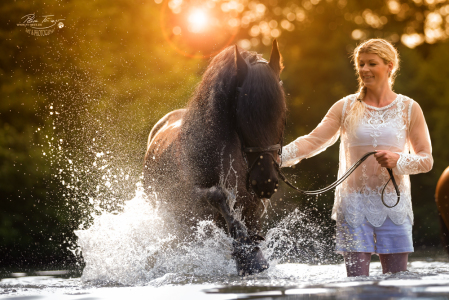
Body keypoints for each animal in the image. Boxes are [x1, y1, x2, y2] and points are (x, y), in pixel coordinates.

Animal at [144, 40, 284, 276]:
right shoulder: (196, 198)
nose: (265, 181)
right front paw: (248, 253)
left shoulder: (252, 204)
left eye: (282, 112)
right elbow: (218, 196)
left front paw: (252, 256)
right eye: (243, 115)